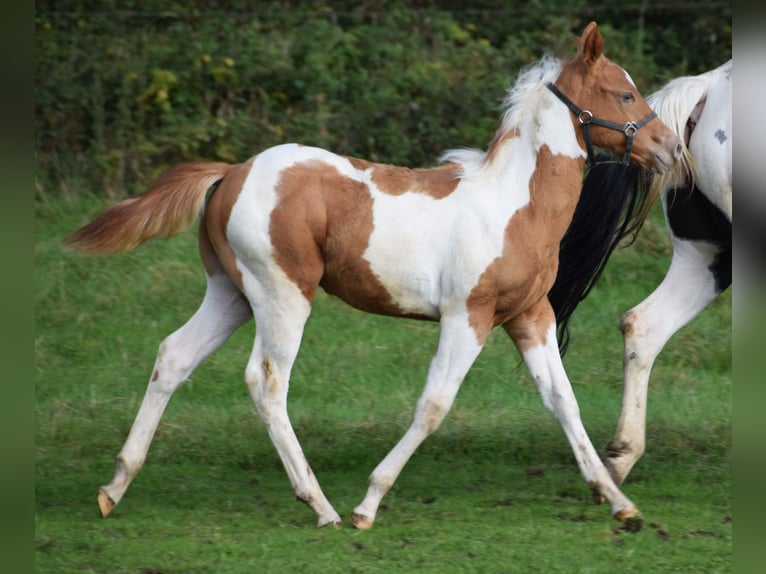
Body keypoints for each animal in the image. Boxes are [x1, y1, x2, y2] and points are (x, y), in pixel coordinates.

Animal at [69, 24, 680, 532]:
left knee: (173, 356)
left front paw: (619, 502)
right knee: (266, 382)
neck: (513, 204)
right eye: (624, 94)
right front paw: (369, 502)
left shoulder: (530, 315)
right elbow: (434, 404)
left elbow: (563, 401)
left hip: (231, 294)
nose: (671, 148)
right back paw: (321, 505)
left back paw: (113, 487)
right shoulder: (468, 316)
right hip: (282, 296)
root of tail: (231, 172)